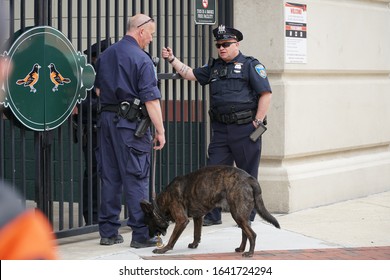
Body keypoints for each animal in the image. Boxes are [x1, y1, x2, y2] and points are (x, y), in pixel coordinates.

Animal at [140, 165, 280, 258]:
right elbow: (196, 233)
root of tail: (249, 178)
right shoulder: (198, 217)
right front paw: (194, 244)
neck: (162, 202)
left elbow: (172, 239)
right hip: (241, 216)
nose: (151, 236)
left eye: (147, 224)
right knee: (245, 232)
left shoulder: (181, 220)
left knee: (252, 234)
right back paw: (241, 248)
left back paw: (250, 253)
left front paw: (163, 249)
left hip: (238, 215)